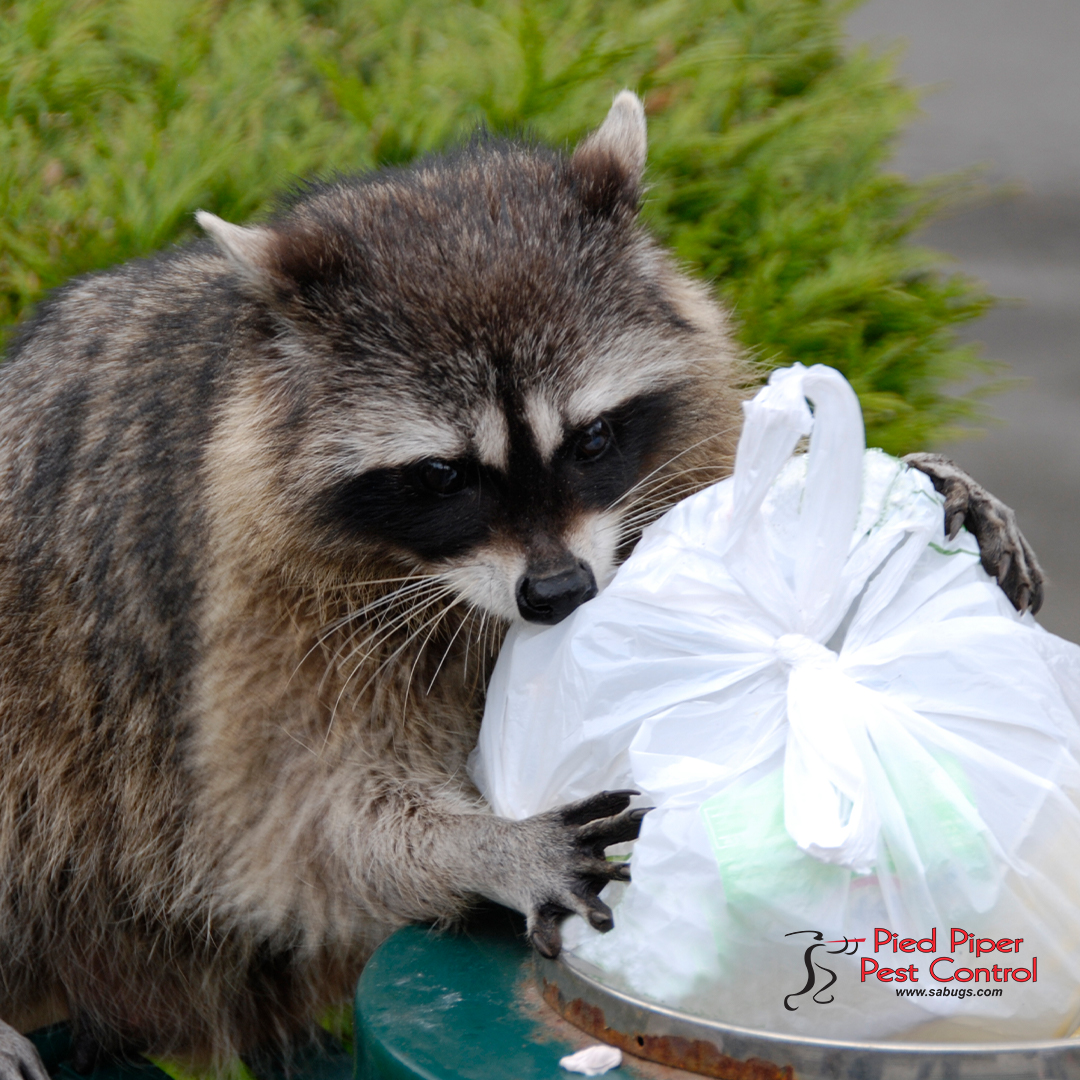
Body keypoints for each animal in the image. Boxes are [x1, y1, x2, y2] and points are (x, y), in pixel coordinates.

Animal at [0, 93, 1043, 1079]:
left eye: (591, 439)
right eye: (441, 476)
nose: (557, 593)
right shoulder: (252, 598)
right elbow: (293, 817)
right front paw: (484, 846)